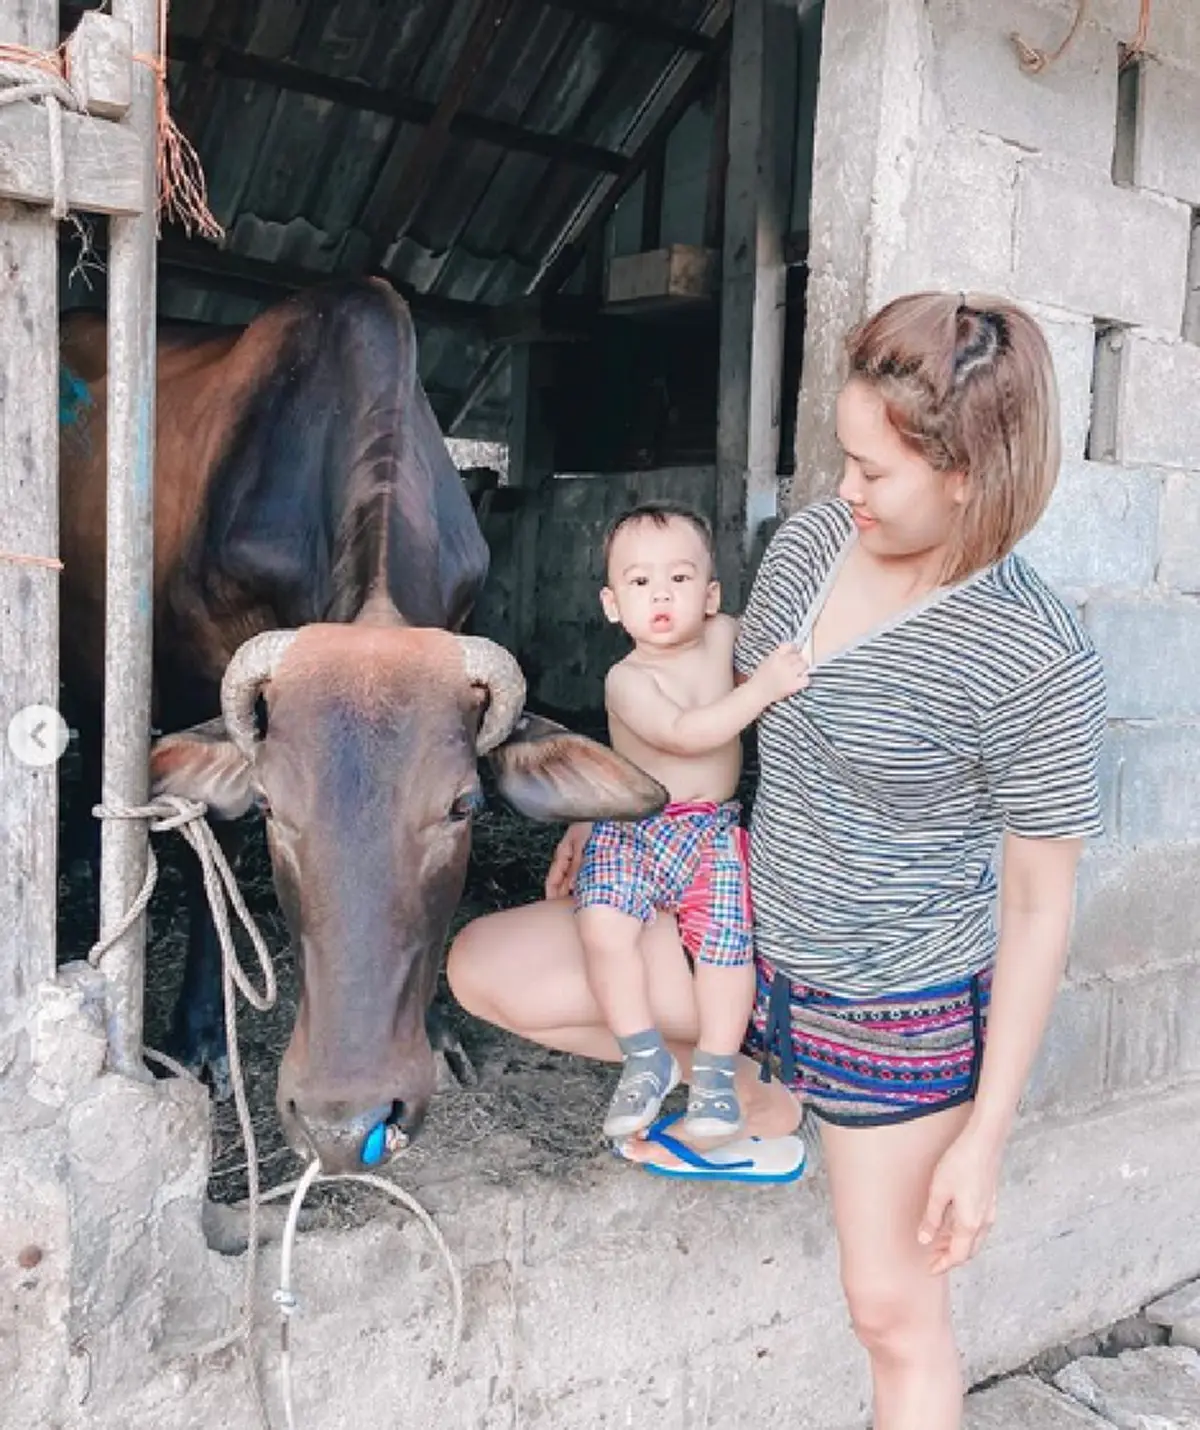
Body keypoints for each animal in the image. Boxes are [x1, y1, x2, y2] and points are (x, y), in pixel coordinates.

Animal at [58, 278, 666, 1172]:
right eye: (270, 806)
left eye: (463, 806)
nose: (343, 1123)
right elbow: (213, 855)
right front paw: (201, 1038)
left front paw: (441, 1031)